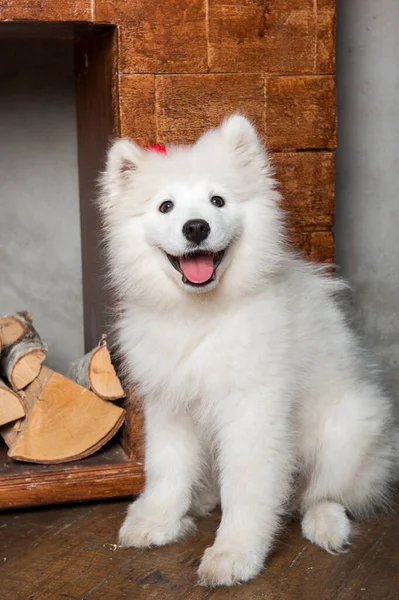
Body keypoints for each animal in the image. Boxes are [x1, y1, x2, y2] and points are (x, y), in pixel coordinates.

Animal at [98, 115, 398, 584]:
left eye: (217, 200)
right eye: (166, 207)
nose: (196, 227)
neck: (201, 315)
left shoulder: (252, 411)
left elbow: (246, 488)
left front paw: (234, 554)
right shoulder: (171, 405)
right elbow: (166, 468)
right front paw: (157, 520)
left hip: (347, 432)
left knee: (324, 494)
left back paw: (325, 525)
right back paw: (200, 501)